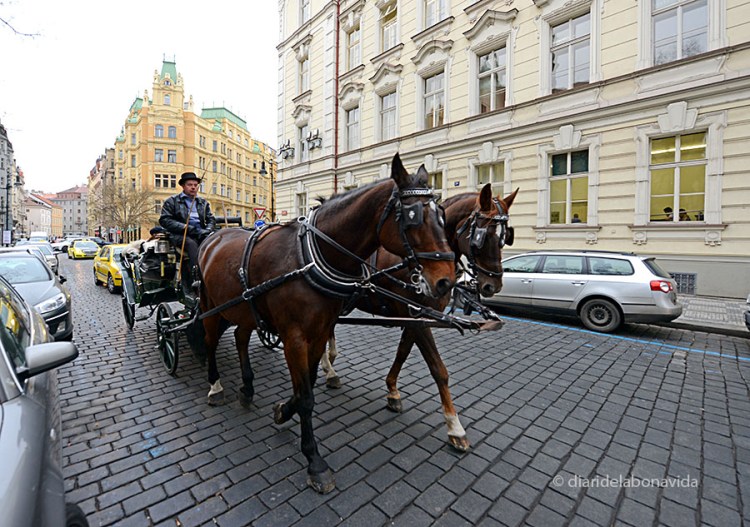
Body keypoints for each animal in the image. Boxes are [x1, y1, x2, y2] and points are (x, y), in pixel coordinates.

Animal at [196, 153, 456, 494]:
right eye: (412, 217)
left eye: (441, 215)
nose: (446, 282)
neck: (307, 258)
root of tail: (214, 235)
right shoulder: (294, 337)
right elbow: (307, 397)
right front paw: (315, 461)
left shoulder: (319, 333)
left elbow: (306, 385)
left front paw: (283, 410)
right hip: (211, 306)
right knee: (210, 341)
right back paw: (215, 385)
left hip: (245, 309)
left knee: (240, 336)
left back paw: (248, 387)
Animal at [321, 183, 518, 452]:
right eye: (482, 236)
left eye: (505, 237)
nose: (493, 285)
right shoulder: (418, 318)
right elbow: (438, 369)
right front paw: (454, 427)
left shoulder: (416, 318)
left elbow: (402, 352)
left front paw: (392, 390)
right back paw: (329, 368)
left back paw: (329, 363)